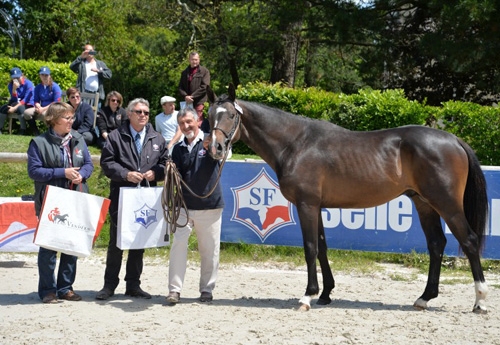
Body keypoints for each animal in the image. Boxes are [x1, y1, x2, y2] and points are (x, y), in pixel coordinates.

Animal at [206, 83, 488, 312]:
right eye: (208, 115)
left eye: (231, 115)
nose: (215, 148)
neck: (296, 143)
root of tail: (454, 139)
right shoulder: (317, 206)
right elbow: (322, 248)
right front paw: (325, 294)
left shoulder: (306, 205)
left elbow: (310, 248)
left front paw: (307, 296)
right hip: (424, 204)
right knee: (436, 244)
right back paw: (424, 298)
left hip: (447, 205)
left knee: (470, 241)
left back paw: (480, 301)